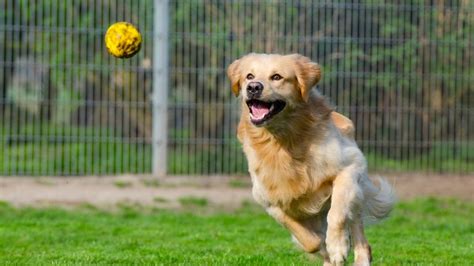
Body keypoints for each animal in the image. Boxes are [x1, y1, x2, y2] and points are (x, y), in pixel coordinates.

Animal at [228, 53, 394, 264]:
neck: (283, 141)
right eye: (249, 76)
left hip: (356, 192)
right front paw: (327, 248)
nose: (254, 87)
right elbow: (310, 240)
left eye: (277, 77)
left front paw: (338, 247)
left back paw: (359, 257)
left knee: (358, 232)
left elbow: (337, 213)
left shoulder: (350, 167)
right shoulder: (269, 201)